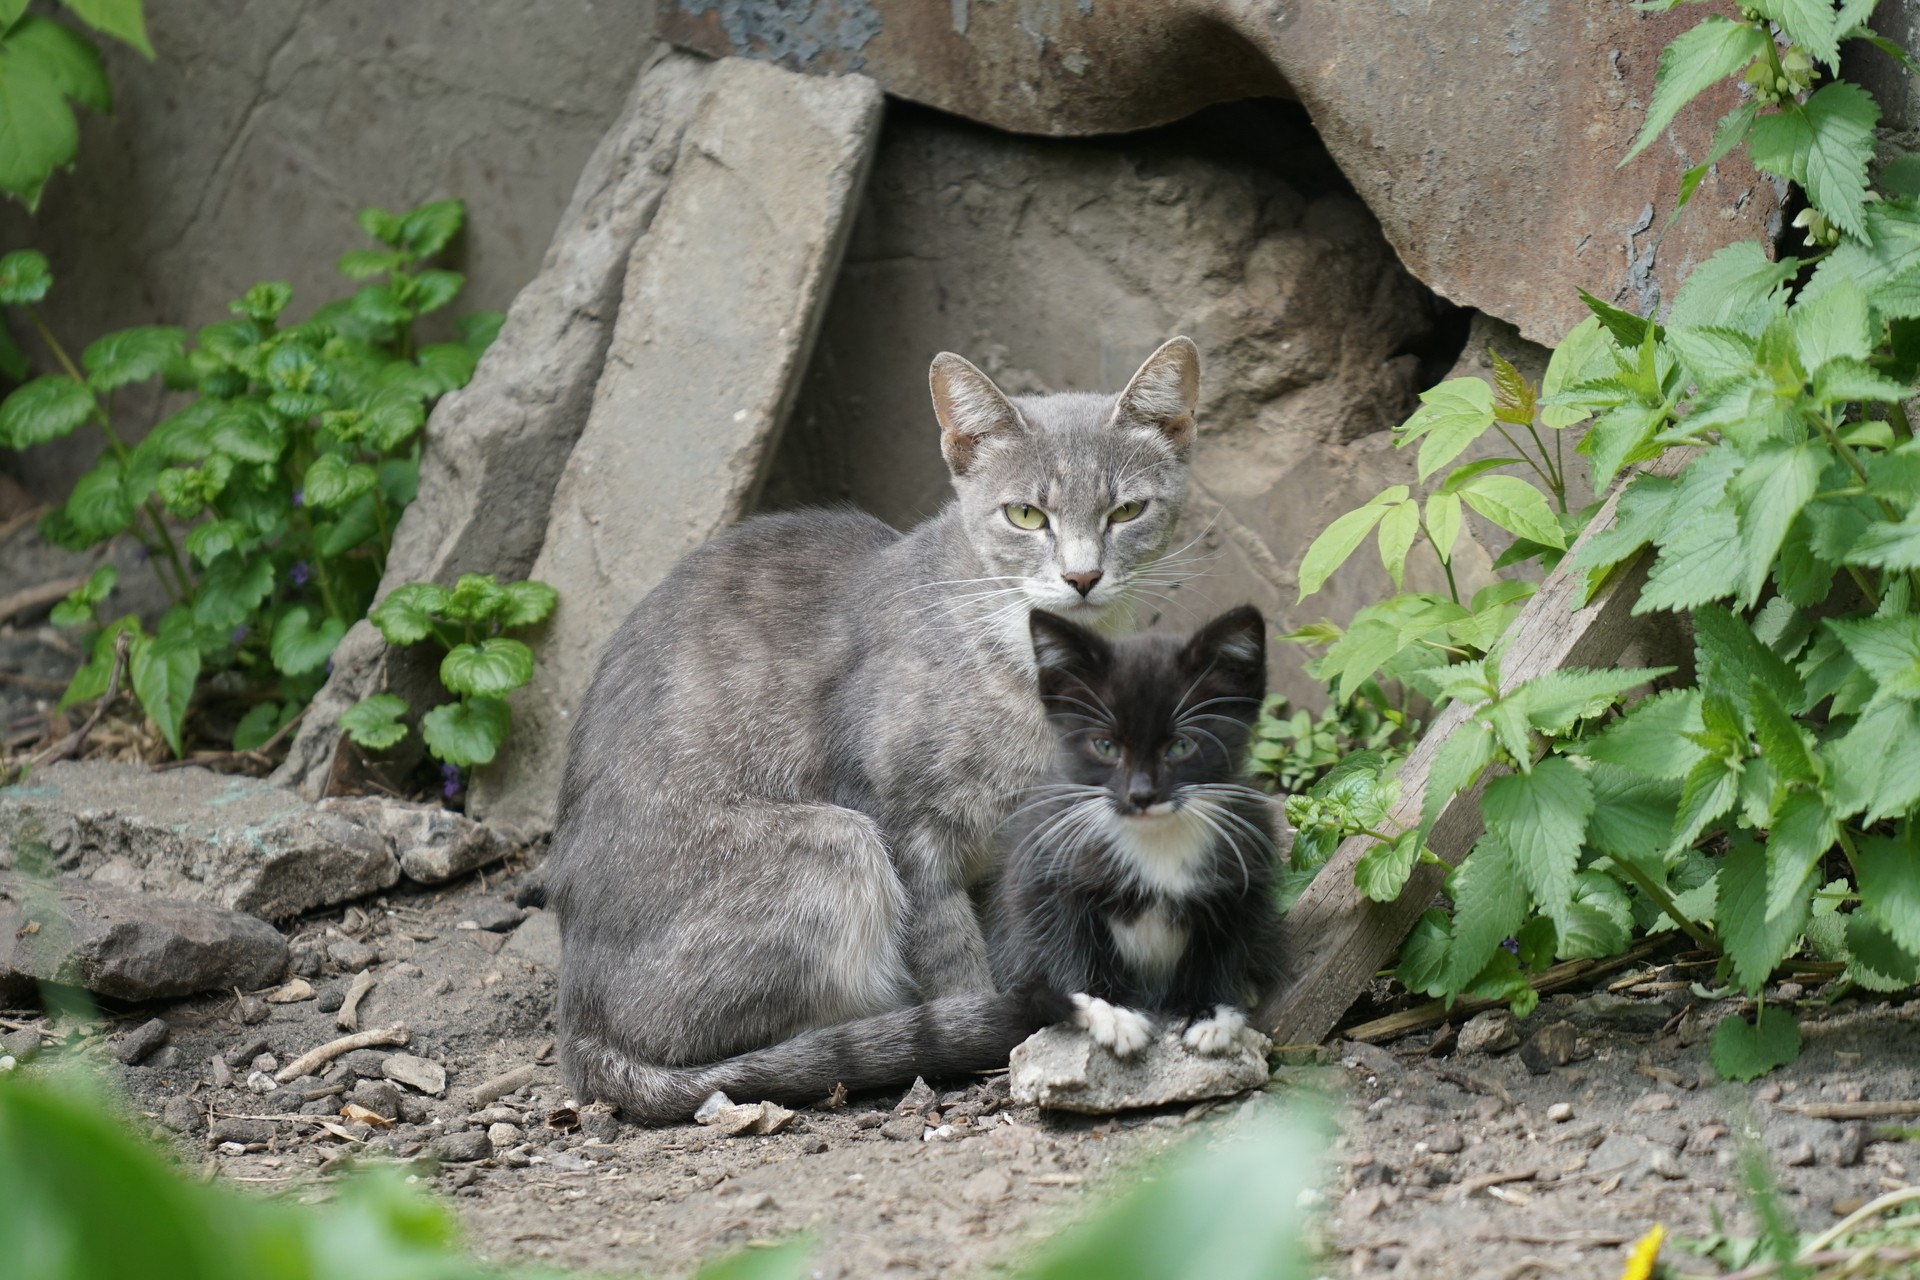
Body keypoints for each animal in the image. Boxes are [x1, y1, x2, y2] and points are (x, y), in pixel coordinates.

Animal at [545, 337, 1198, 1120]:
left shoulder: (1022, 842)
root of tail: (579, 1020)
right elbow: (952, 955)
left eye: (1127, 509)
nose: (1082, 577)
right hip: (835, 847)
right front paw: (986, 1032)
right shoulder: (900, 819)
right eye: (1025, 515)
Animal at [990, 606, 1274, 1059]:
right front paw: (1111, 1011)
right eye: (1105, 746)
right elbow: (1064, 939)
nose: (1141, 795)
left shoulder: (1247, 864)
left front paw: (1212, 1012)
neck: (1156, 840)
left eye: (1181, 746)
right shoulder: (1047, 866)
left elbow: (1228, 943)